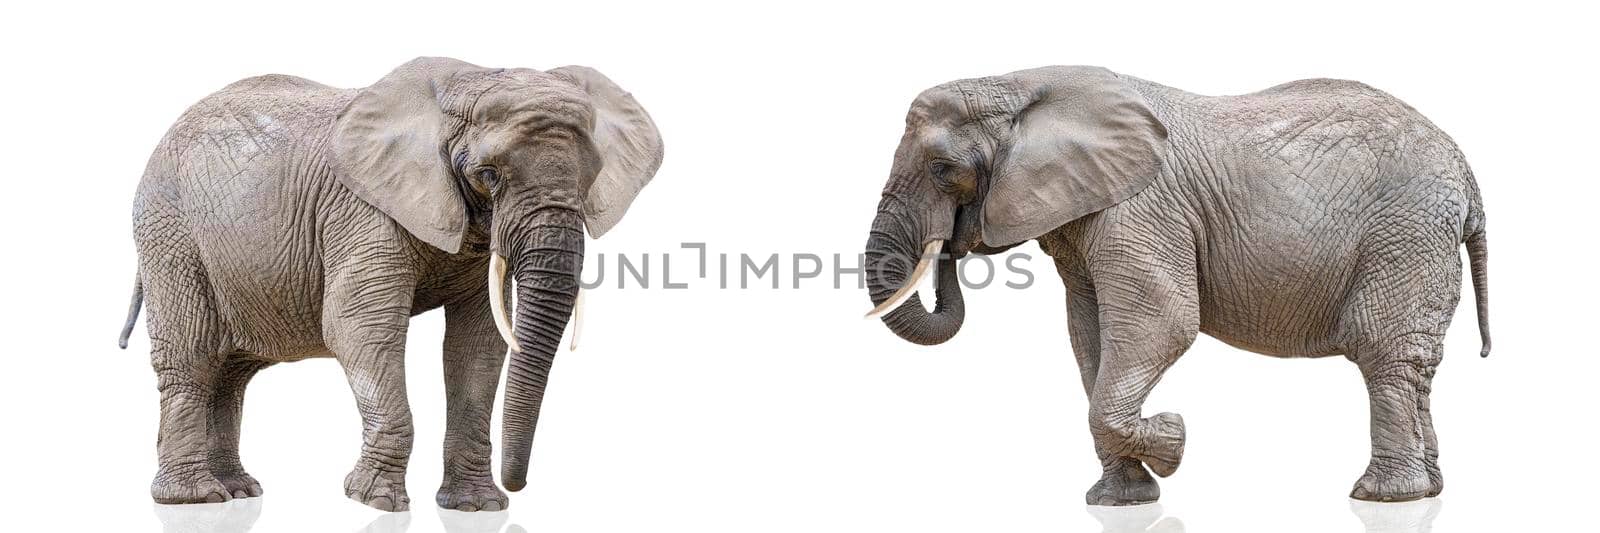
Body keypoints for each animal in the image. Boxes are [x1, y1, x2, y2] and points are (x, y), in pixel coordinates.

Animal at [116, 54, 659, 512]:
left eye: (592, 177)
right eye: (488, 175)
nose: (518, 485)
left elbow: (477, 343)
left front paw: (477, 507)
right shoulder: (361, 211)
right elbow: (360, 327)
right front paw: (376, 502)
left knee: (230, 372)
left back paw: (240, 491)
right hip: (170, 230)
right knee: (192, 357)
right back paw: (195, 499)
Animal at [864, 65, 1484, 502]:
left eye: (944, 169)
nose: (951, 242)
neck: (1019, 84)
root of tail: (1465, 168)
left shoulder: (1139, 209)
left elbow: (1162, 321)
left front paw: (1174, 437)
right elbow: (1090, 338)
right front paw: (1120, 500)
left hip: (1406, 234)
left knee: (1384, 352)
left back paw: (1385, 498)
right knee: (1415, 364)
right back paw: (1430, 490)